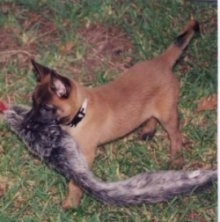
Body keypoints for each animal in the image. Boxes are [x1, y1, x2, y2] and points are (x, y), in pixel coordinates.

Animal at [25, 19, 199, 208]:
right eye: (33, 102)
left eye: (46, 108)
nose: (27, 122)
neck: (81, 113)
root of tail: (162, 61)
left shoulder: (85, 155)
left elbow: (76, 182)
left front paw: (71, 202)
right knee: (151, 117)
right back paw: (148, 130)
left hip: (168, 114)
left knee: (175, 136)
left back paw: (176, 159)